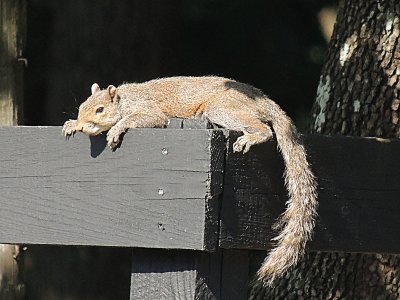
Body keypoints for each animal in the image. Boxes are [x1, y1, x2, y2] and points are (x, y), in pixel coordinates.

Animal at [61, 75, 318, 286]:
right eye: (81, 107)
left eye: (100, 110)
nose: (82, 124)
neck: (125, 100)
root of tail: (264, 101)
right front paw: (70, 124)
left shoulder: (148, 110)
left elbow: (146, 118)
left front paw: (115, 130)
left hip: (223, 108)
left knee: (264, 129)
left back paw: (251, 137)